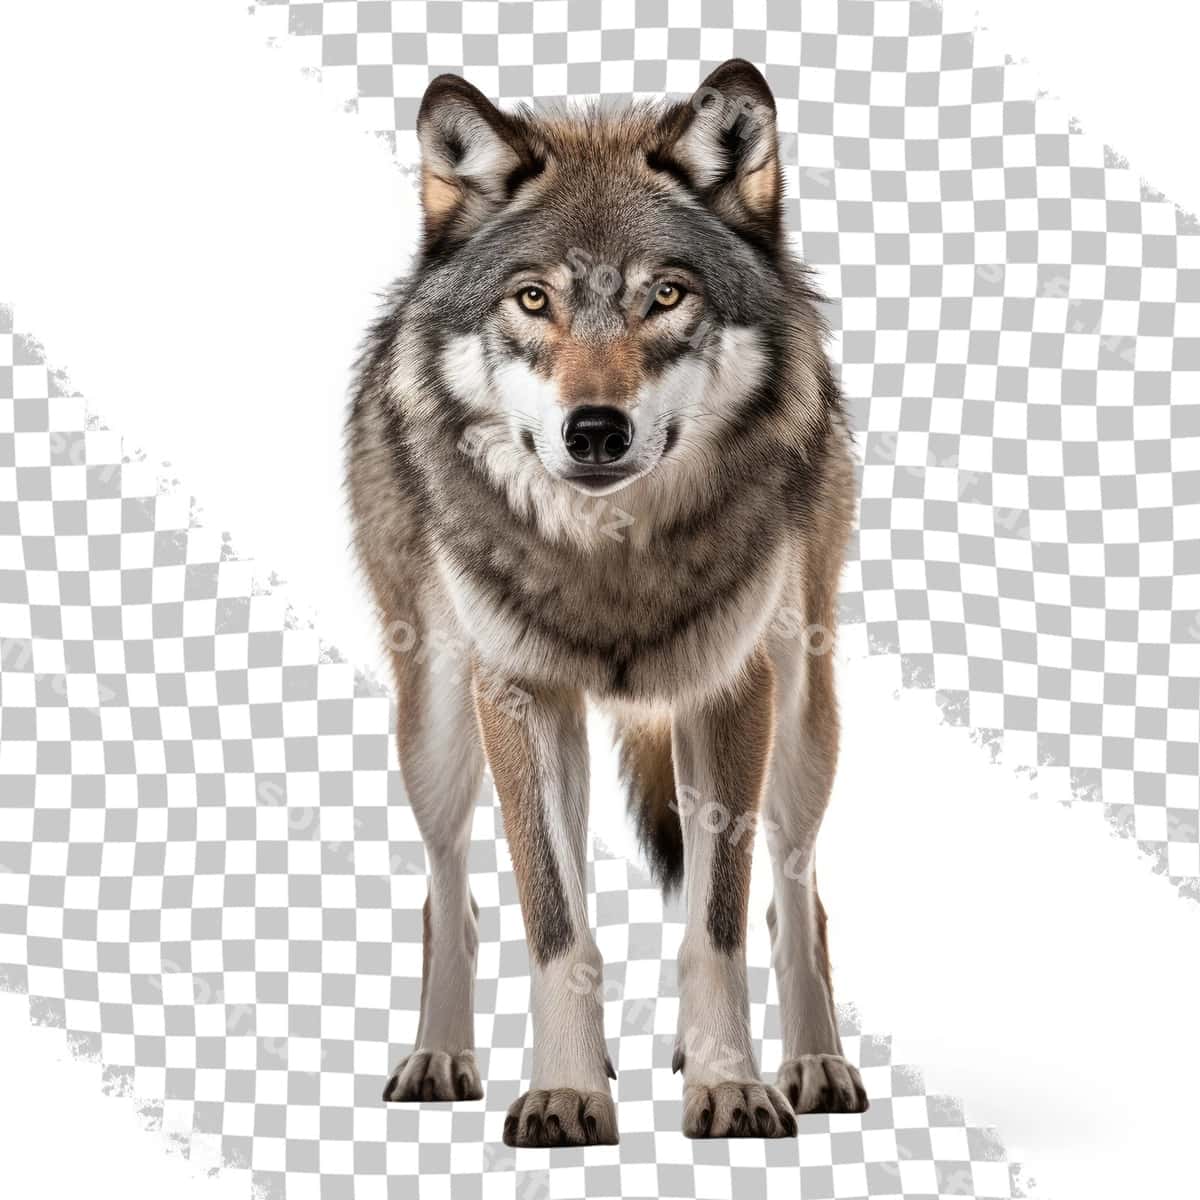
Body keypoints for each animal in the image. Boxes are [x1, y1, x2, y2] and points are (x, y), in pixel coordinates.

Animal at [347, 59, 866, 1146]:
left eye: (666, 294)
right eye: (533, 299)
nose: (594, 429)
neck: (610, 558)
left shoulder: (732, 694)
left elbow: (717, 923)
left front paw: (732, 1087)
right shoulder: (520, 694)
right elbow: (558, 927)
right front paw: (566, 1093)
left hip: (807, 715)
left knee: (795, 898)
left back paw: (814, 1065)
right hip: (437, 725)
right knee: (452, 894)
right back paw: (441, 1058)